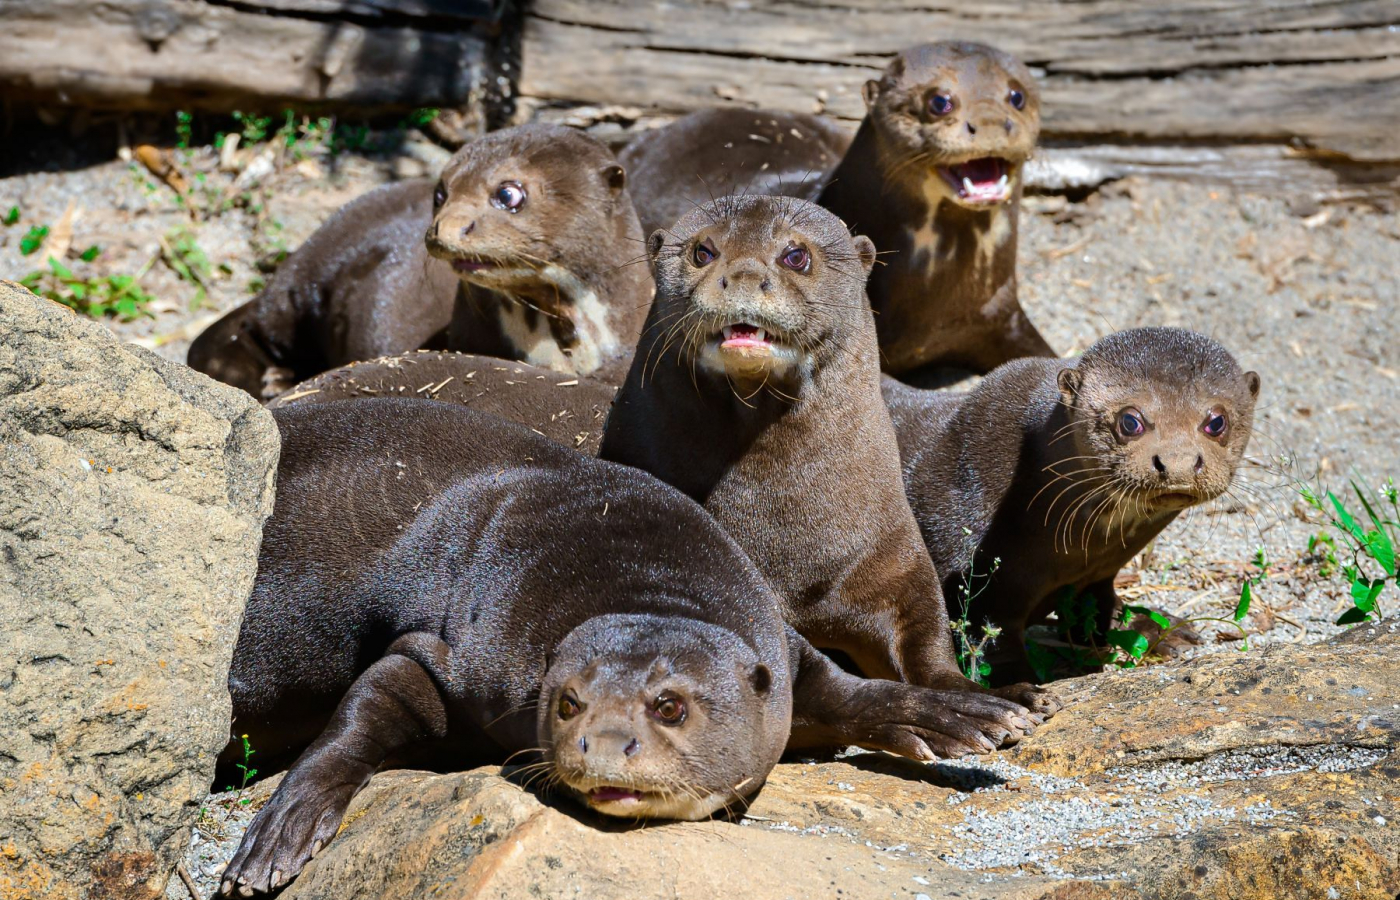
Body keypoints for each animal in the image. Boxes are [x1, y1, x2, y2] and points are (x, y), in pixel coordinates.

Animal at [884, 327, 1271, 685]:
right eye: (1130, 421)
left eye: (1216, 421)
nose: (1178, 464)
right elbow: (987, 639)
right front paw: (1021, 688)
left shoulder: (1098, 573)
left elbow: (1099, 608)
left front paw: (1156, 627)